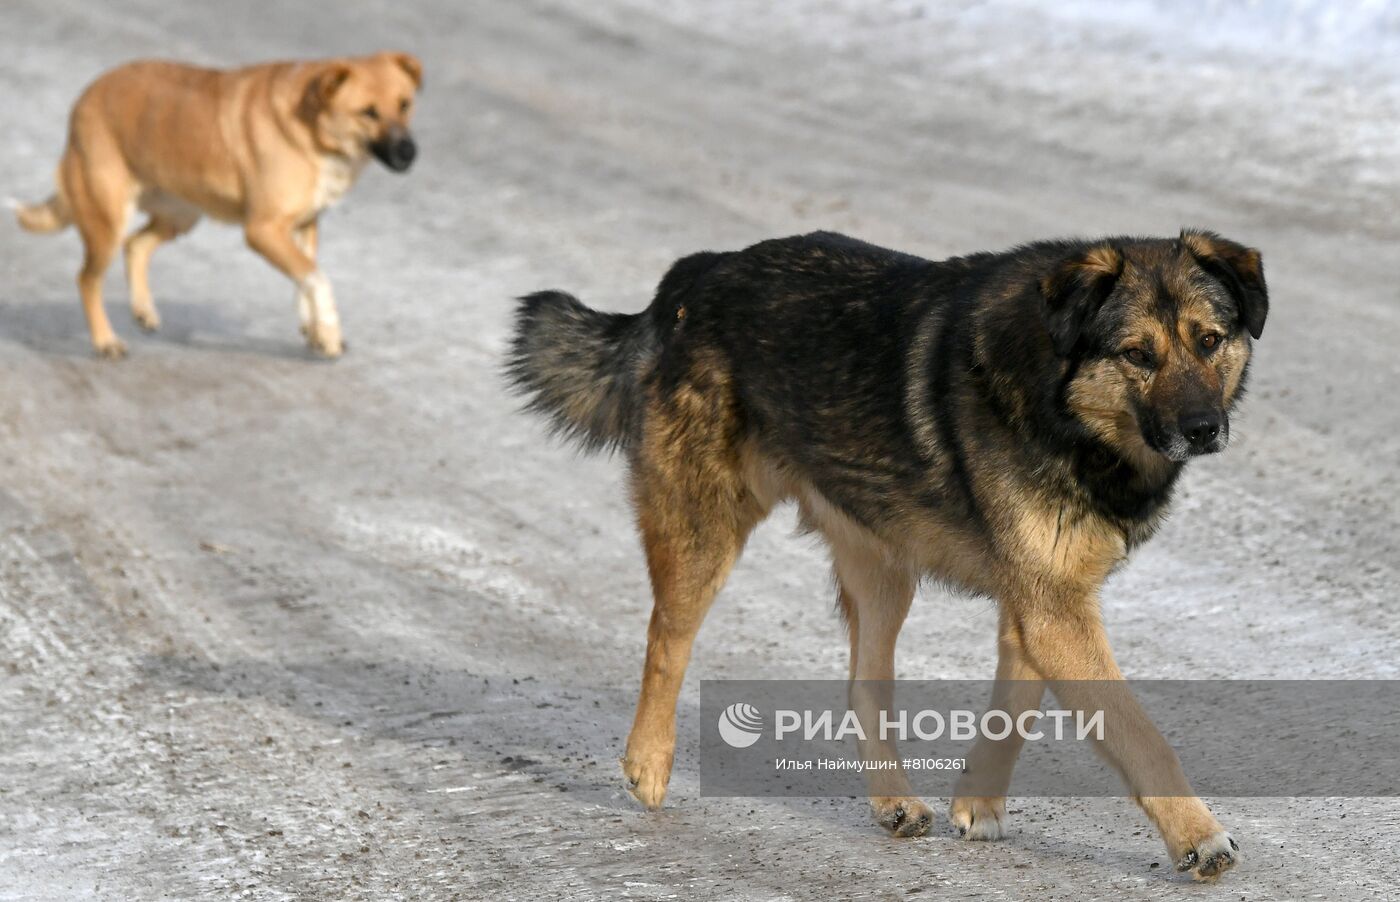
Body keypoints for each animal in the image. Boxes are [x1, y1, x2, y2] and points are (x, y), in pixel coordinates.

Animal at [15, 51, 420, 357]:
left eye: (405, 105)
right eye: (368, 112)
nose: (410, 153)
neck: (312, 128)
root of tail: (84, 98)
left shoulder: (304, 225)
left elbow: (305, 277)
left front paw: (316, 330)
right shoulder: (262, 231)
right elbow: (315, 277)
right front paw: (330, 331)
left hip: (181, 214)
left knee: (136, 245)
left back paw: (143, 310)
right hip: (107, 219)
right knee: (87, 279)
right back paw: (105, 341)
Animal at [506, 226, 1271, 879]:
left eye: (1210, 340)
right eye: (1137, 353)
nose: (1204, 428)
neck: (1065, 407)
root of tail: (694, 275)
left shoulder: (1041, 604)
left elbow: (1013, 710)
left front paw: (978, 803)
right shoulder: (1054, 609)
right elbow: (1140, 734)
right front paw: (1199, 837)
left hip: (882, 570)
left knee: (863, 685)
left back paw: (894, 800)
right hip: (705, 530)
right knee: (666, 638)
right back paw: (649, 763)